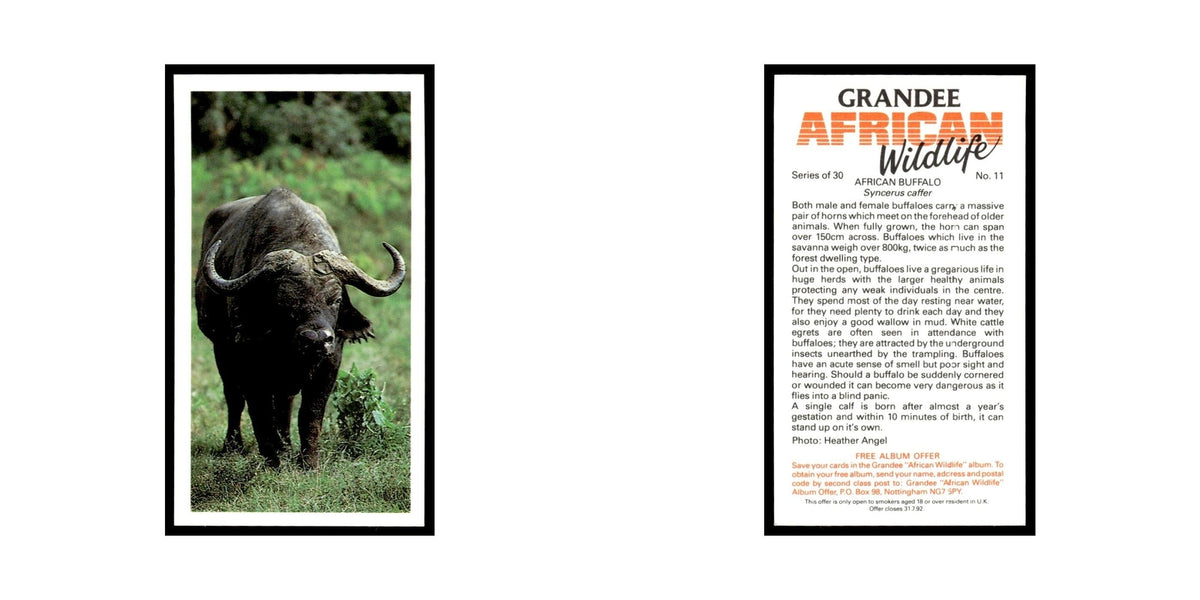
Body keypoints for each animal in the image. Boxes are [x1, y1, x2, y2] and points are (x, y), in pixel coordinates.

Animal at [195, 187, 406, 468]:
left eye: (335, 299)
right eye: (283, 300)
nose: (316, 340)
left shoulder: (330, 364)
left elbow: (310, 414)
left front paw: (308, 463)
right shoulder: (249, 363)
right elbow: (259, 412)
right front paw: (273, 459)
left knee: (285, 402)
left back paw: (286, 444)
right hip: (221, 349)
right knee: (233, 397)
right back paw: (233, 446)